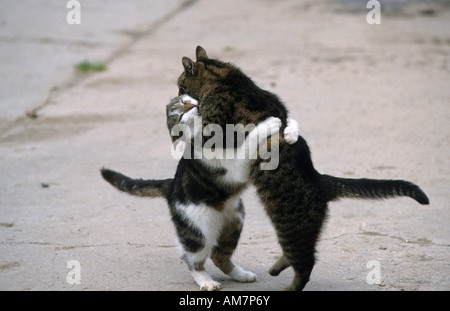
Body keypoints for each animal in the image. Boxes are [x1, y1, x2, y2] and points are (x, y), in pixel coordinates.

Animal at [102, 94, 298, 290]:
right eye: (181, 117)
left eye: (183, 101)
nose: (191, 106)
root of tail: (171, 186)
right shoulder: (235, 166)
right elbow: (249, 142)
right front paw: (268, 124)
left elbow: (291, 123)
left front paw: (290, 131)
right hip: (198, 233)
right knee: (193, 260)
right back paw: (207, 281)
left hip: (235, 222)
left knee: (219, 256)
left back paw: (242, 275)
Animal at [175, 47, 428, 292]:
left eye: (180, 85)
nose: (178, 96)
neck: (225, 78)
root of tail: (320, 180)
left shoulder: (212, 130)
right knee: (298, 257)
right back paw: (275, 269)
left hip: (291, 229)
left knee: (305, 264)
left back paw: (289, 287)